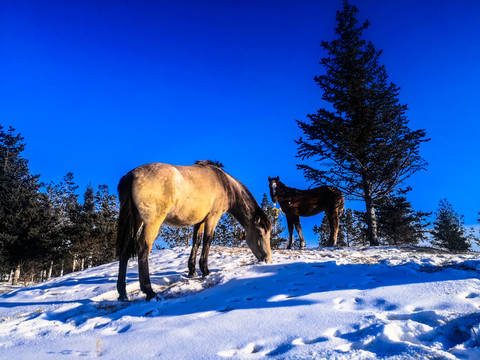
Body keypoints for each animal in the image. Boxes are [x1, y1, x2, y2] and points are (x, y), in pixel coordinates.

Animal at [116, 160, 272, 300]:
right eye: (260, 234)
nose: (267, 259)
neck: (224, 183)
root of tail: (132, 175)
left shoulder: (200, 220)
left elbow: (196, 241)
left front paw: (192, 271)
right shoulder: (212, 217)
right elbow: (207, 240)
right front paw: (205, 270)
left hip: (136, 221)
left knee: (125, 251)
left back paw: (122, 293)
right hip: (152, 222)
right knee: (143, 248)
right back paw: (149, 291)